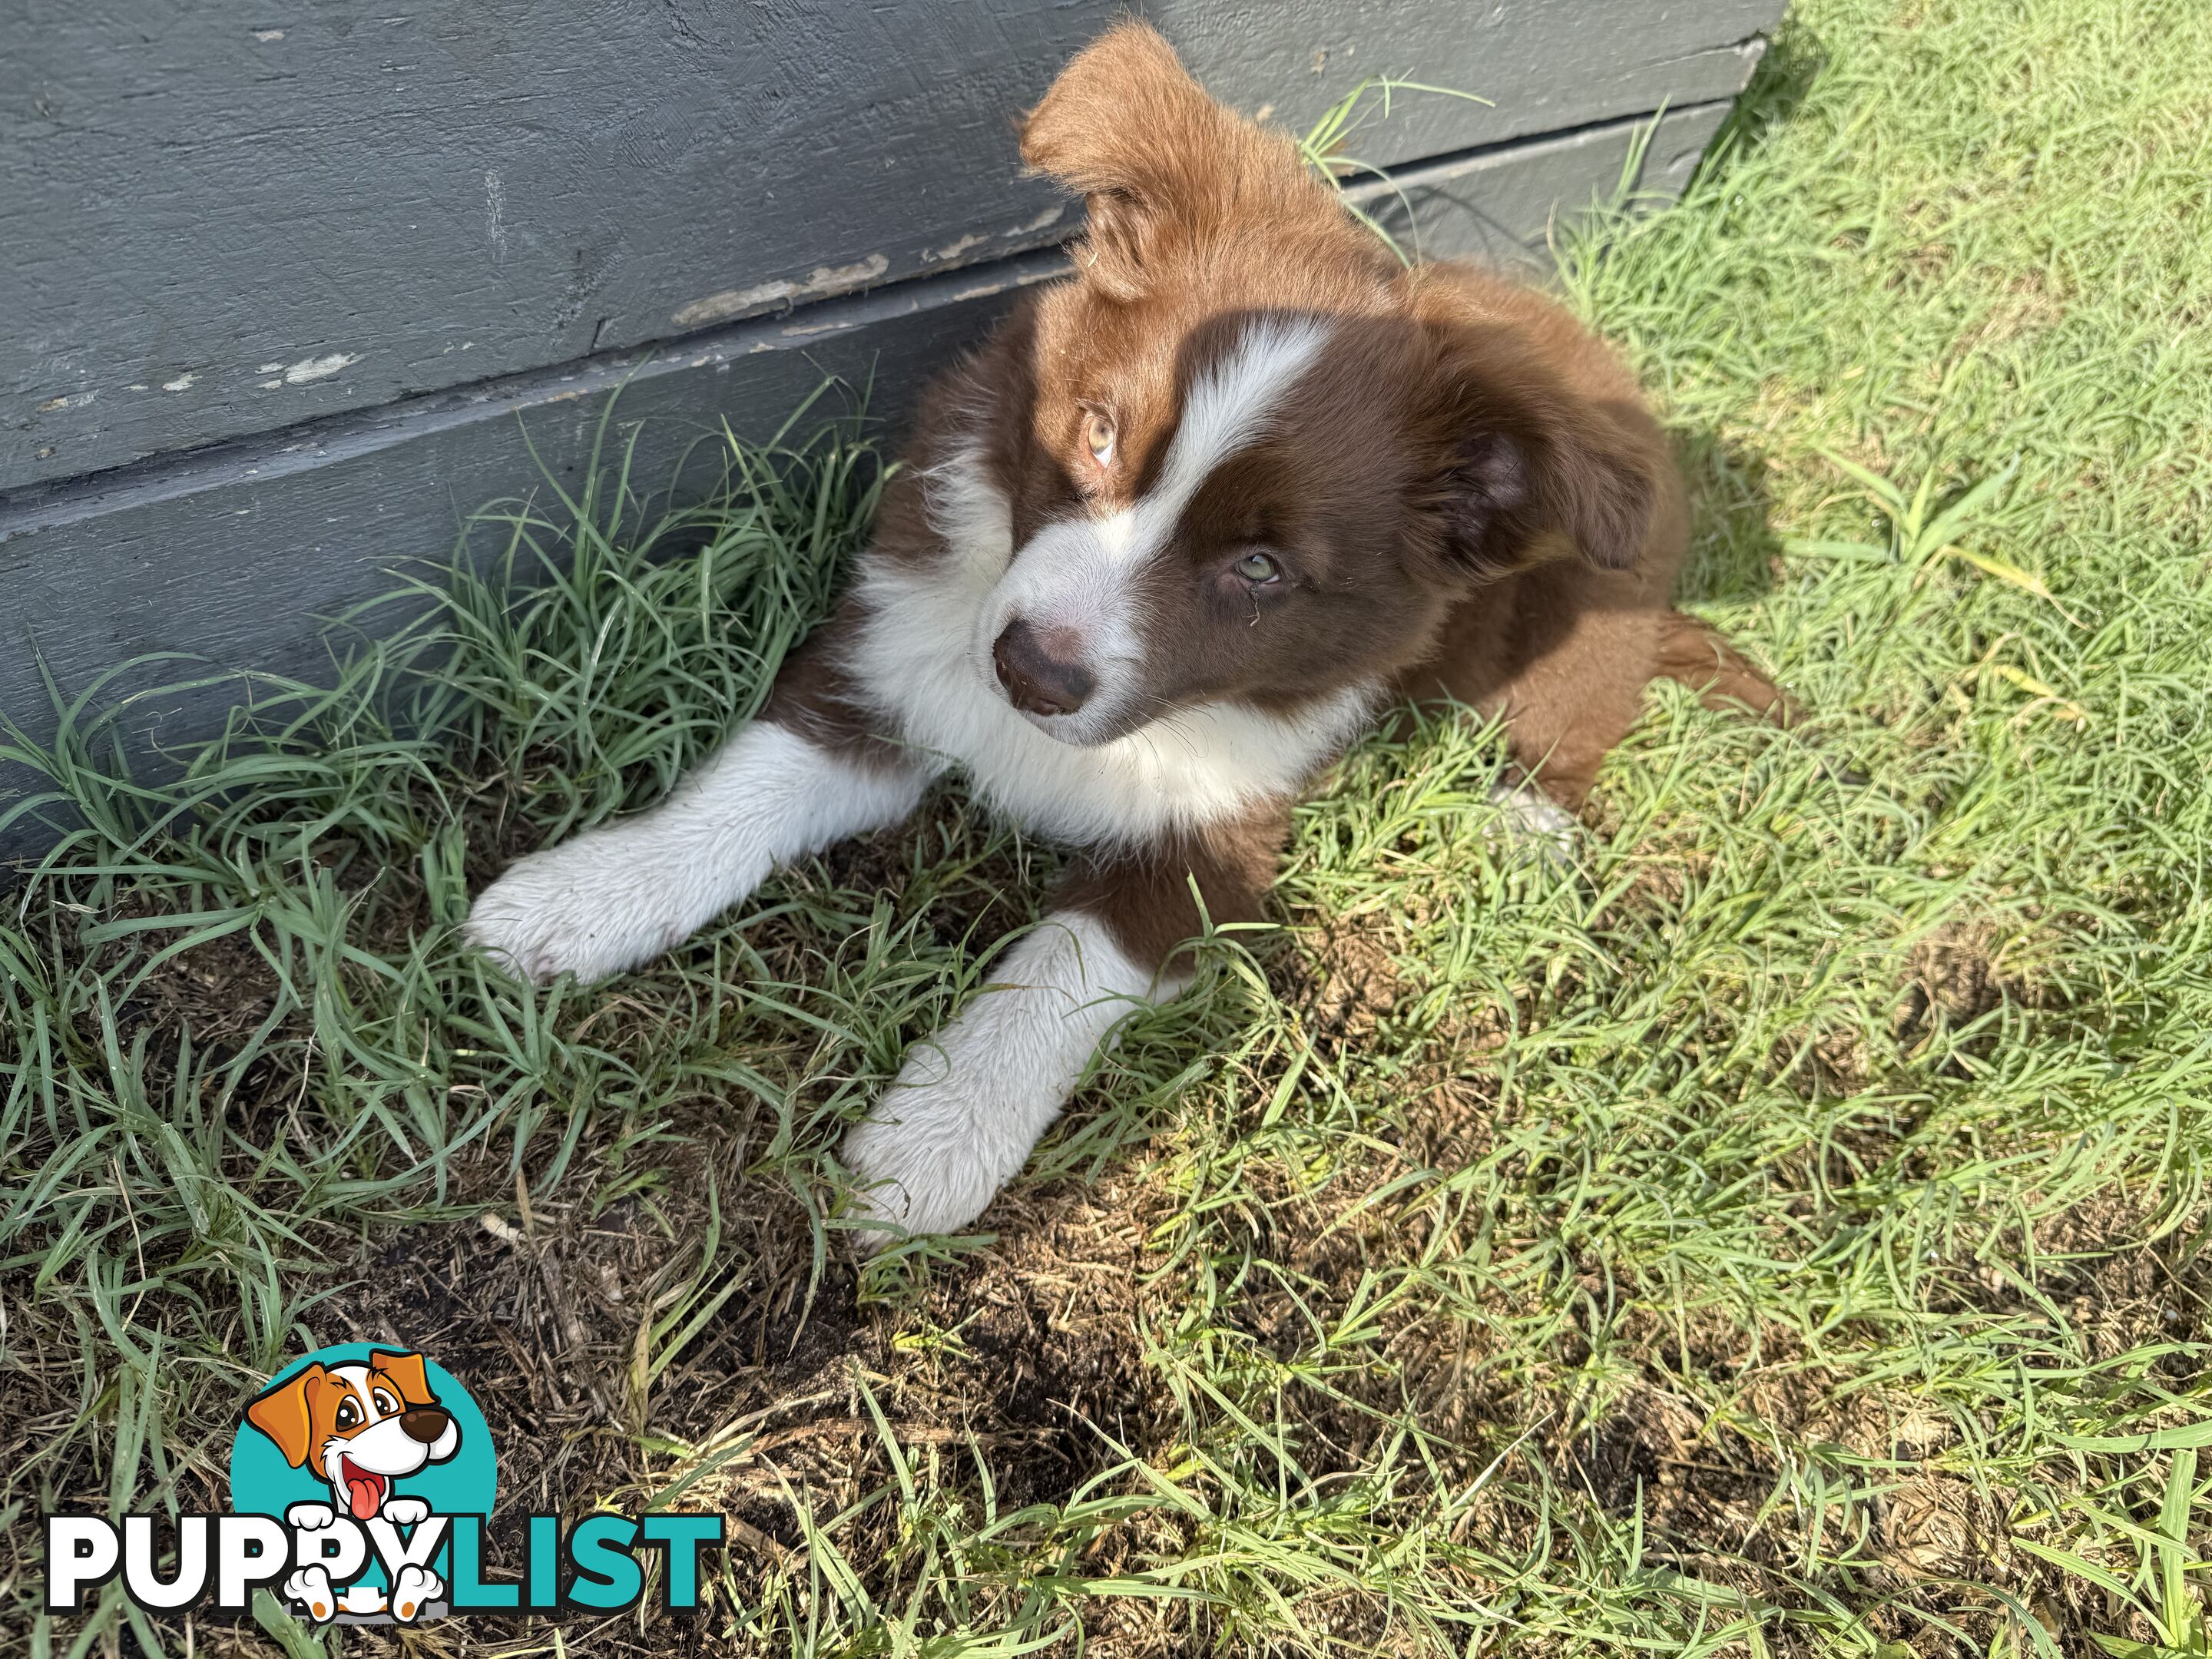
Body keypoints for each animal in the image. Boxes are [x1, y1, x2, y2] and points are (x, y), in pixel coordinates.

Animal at [462, 22, 1778, 1247]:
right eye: (1096, 433)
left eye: (1261, 570)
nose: (1028, 671)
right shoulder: (898, 654)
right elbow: (750, 782)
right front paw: (580, 900)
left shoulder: (1219, 833)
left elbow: (1060, 971)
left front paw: (928, 1148)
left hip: (1584, 615)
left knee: (1575, 720)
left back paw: (1526, 822)